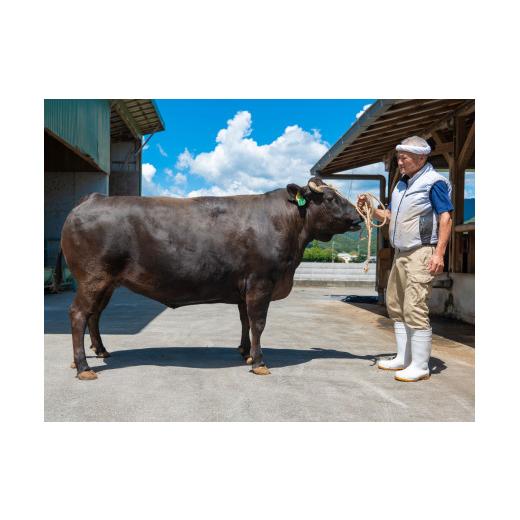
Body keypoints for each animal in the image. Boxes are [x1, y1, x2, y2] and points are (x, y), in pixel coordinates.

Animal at [53, 177, 362, 380]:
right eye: (331, 199)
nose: (359, 217)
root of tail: (93, 198)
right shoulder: (261, 283)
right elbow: (259, 323)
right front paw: (259, 362)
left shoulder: (244, 287)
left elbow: (245, 321)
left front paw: (245, 352)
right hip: (93, 277)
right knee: (78, 314)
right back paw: (84, 367)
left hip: (106, 283)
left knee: (94, 315)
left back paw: (99, 352)